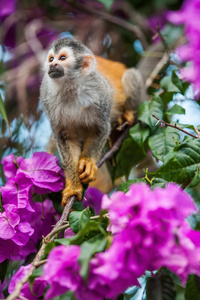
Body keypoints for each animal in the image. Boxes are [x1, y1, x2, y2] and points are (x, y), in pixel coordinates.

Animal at [40, 37, 144, 206]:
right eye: (51, 59)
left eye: (62, 58)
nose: (52, 64)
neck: (71, 87)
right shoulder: (46, 96)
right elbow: (65, 136)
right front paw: (73, 186)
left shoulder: (100, 94)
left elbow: (101, 128)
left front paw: (88, 163)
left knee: (131, 76)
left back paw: (125, 116)